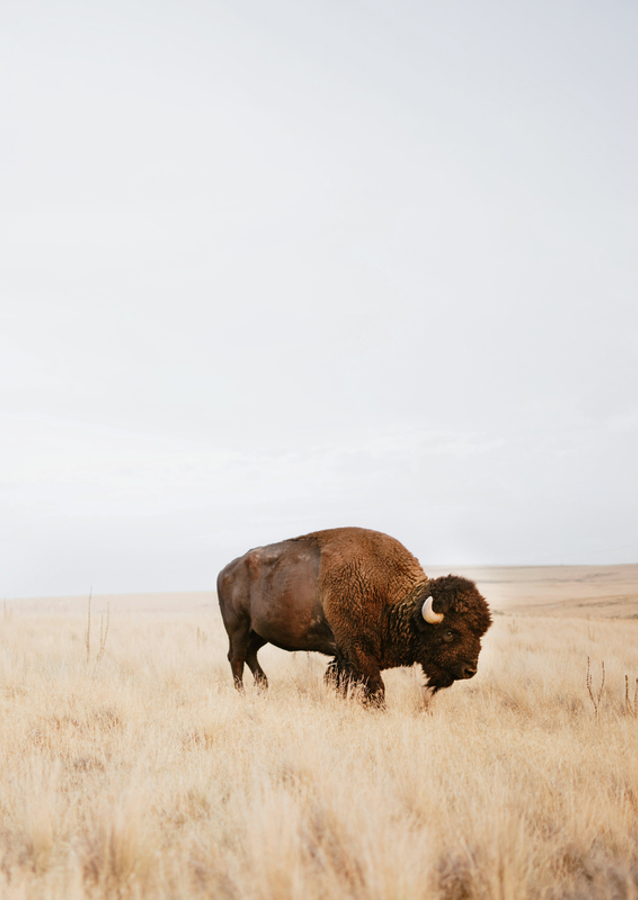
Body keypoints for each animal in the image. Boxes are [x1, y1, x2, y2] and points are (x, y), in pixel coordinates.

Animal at [217, 526, 491, 705]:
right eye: (449, 632)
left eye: (480, 632)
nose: (470, 670)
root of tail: (225, 570)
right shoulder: (358, 650)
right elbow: (375, 687)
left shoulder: (344, 656)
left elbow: (343, 683)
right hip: (238, 628)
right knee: (236, 658)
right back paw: (242, 694)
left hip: (258, 633)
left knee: (250, 655)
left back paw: (263, 688)